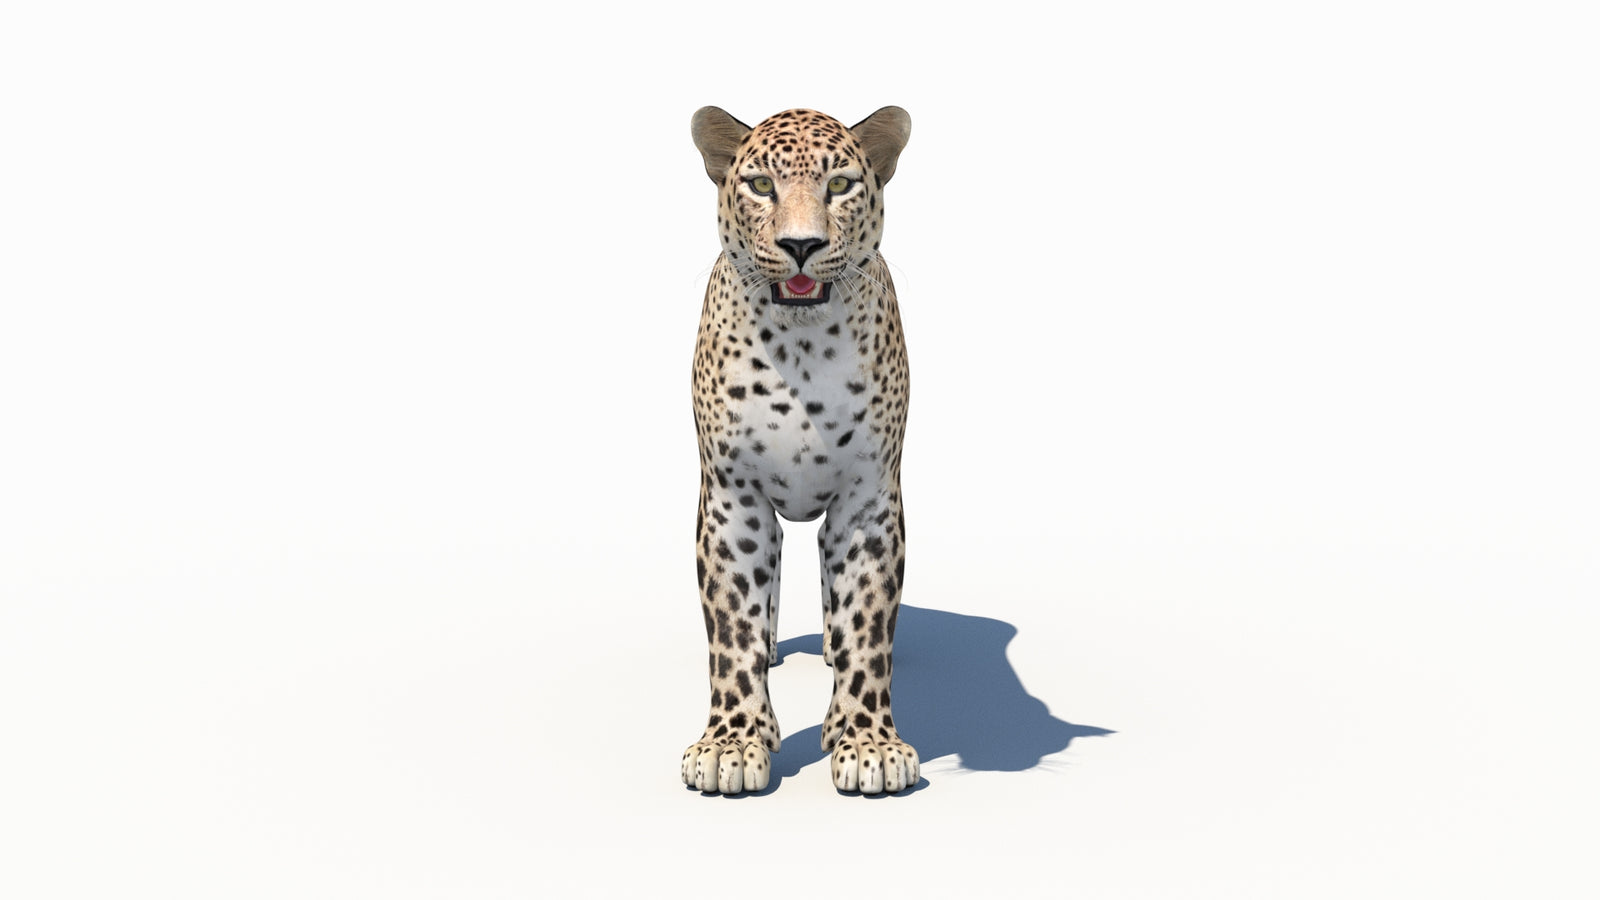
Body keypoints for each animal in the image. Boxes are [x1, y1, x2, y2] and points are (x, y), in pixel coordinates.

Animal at [681, 106, 917, 795]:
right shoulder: (733, 499)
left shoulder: (867, 500)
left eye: (839, 185)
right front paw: (731, 743)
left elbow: (867, 621)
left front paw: (868, 742)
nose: (802, 246)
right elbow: (733, 625)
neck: (802, 349)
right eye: (761, 185)